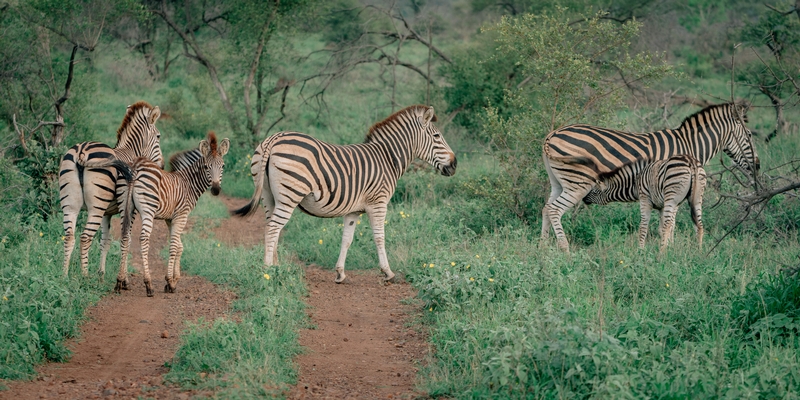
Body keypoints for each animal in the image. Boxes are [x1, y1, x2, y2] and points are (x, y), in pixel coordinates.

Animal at [59, 102, 162, 278]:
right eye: (158, 136)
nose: (161, 165)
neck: (131, 151)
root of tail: (81, 151)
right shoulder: (128, 207)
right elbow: (126, 237)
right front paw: (123, 276)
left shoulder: (107, 213)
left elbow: (105, 241)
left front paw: (101, 273)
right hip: (96, 207)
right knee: (85, 237)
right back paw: (85, 276)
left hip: (70, 204)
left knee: (69, 237)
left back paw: (64, 275)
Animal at [231, 104, 456, 282]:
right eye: (437, 136)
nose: (455, 164)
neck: (387, 158)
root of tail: (274, 138)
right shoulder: (378, 202)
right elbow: (379, 237)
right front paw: (387, 272)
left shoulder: (353, 210)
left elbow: (346, 239)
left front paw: (340, 273)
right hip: (289, 195)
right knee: (272, 229)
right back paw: (268, 271)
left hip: (268, 196)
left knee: (271, 227)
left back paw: (277, 267)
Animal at [580, 155, 708, 252]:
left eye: (595, 191)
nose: (584, 199)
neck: (635, 184)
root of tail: (690, 161)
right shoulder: (664, 206)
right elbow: (667, 226)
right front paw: (670, 247)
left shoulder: (645, 199)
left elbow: (644, 227)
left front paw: (641, 250)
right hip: (696, 198)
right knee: (699, 225)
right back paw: (699, 251)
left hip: (671, 197)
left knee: (668, 226)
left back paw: (661, 254)